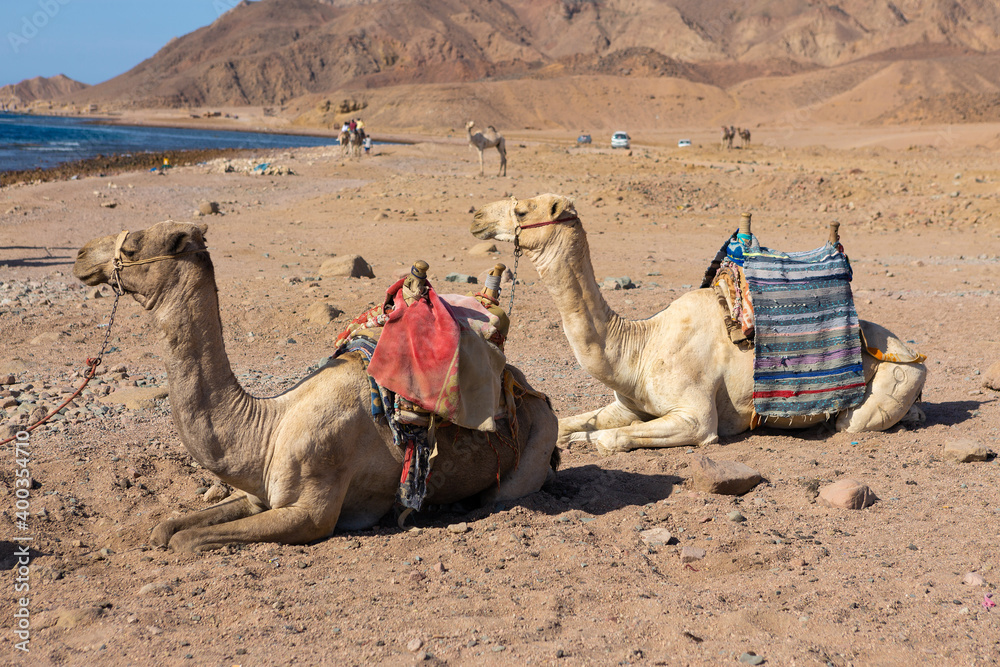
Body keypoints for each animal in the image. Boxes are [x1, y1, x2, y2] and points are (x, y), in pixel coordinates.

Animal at [73, 222, 558, 551]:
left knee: (503, 494)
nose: (79, 256)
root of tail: (529, 390)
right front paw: (165, 528)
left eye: (132, 246)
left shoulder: (312, 512)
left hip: (534, 448)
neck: (269, 426)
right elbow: (166, 529)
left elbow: (185, 541)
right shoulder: (259, 497)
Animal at [470, 194, 927, 454]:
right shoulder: (628, 404)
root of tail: (912, 352)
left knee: (852, 421)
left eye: (520, 209)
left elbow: (610, 438)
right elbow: (571, 420)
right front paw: (565, 432)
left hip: (895, 377)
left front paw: (582, 441)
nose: (474, 214)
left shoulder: (696, 417)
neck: (640, 346)